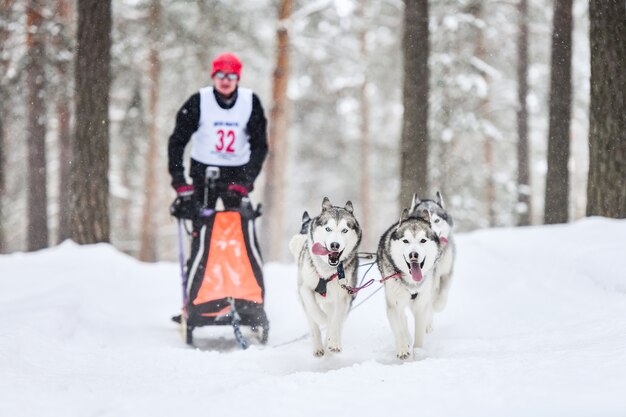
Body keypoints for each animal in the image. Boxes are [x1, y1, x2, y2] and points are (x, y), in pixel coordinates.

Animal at [288, 197, 360, 356]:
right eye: (328, 229)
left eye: (344, 230)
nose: (335, 245)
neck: (326, 272)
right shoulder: (304, 289)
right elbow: (314, 312)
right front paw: (322, 320)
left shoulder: (343, 296)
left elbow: (336, 320)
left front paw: (334, 342)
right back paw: (320, 346)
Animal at [376, 208, 438, 358]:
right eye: (406, 241)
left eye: (423, 240)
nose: (413, 255)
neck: (411, 282)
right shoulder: (394, 304)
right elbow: (399, 329)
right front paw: (403, 348)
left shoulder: (421, 304)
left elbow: (419, 333)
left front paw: (418, 351)